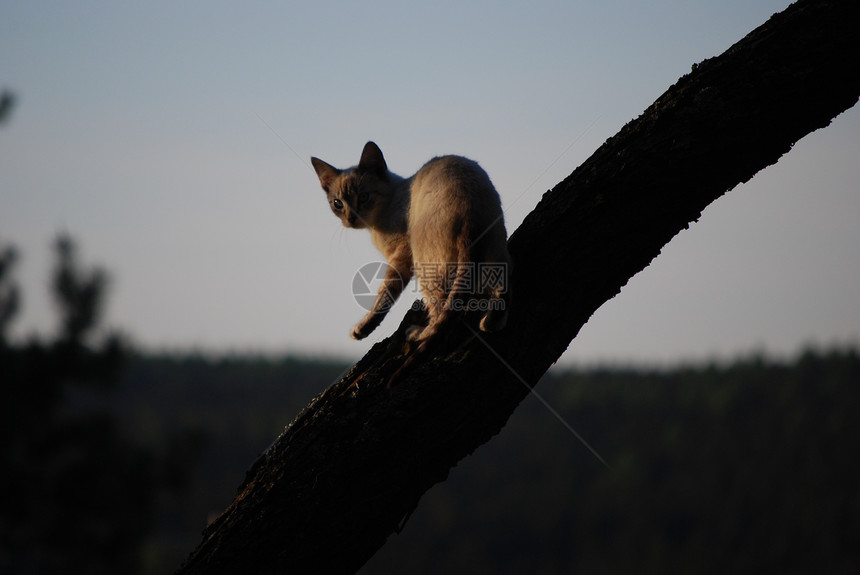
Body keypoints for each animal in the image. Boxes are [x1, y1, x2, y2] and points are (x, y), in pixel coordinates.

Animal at [310, 140, 508, 356]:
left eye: (363, 197)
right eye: (338, 204)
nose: (351, 218)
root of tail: (471, 218)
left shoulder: (401, 256)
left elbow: (385, 294)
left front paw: (362, 329)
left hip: (425, 267)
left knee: (442, 310)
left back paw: (417, 334)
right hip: (496, 257)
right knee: (502, 290)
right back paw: (489, 324)